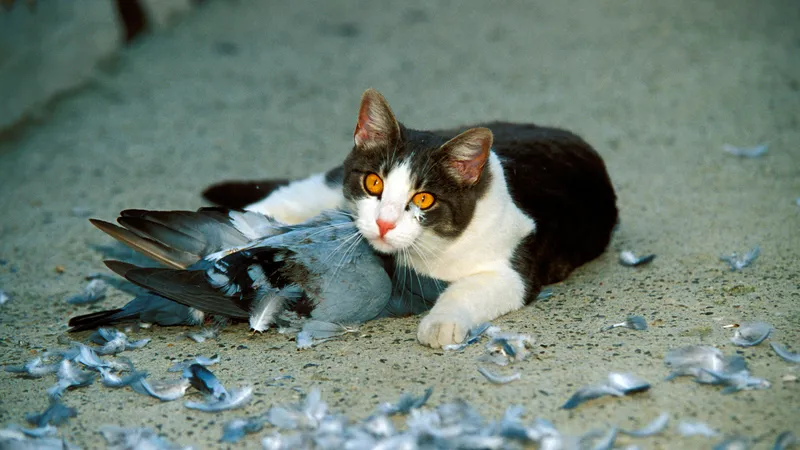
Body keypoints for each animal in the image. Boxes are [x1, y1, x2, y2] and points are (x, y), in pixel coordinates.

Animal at [205, 88, 620, 348]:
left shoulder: (516, 264)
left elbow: (472, 288)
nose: (384, 223)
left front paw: (441, 323)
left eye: (423, 198)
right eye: (374, 182)